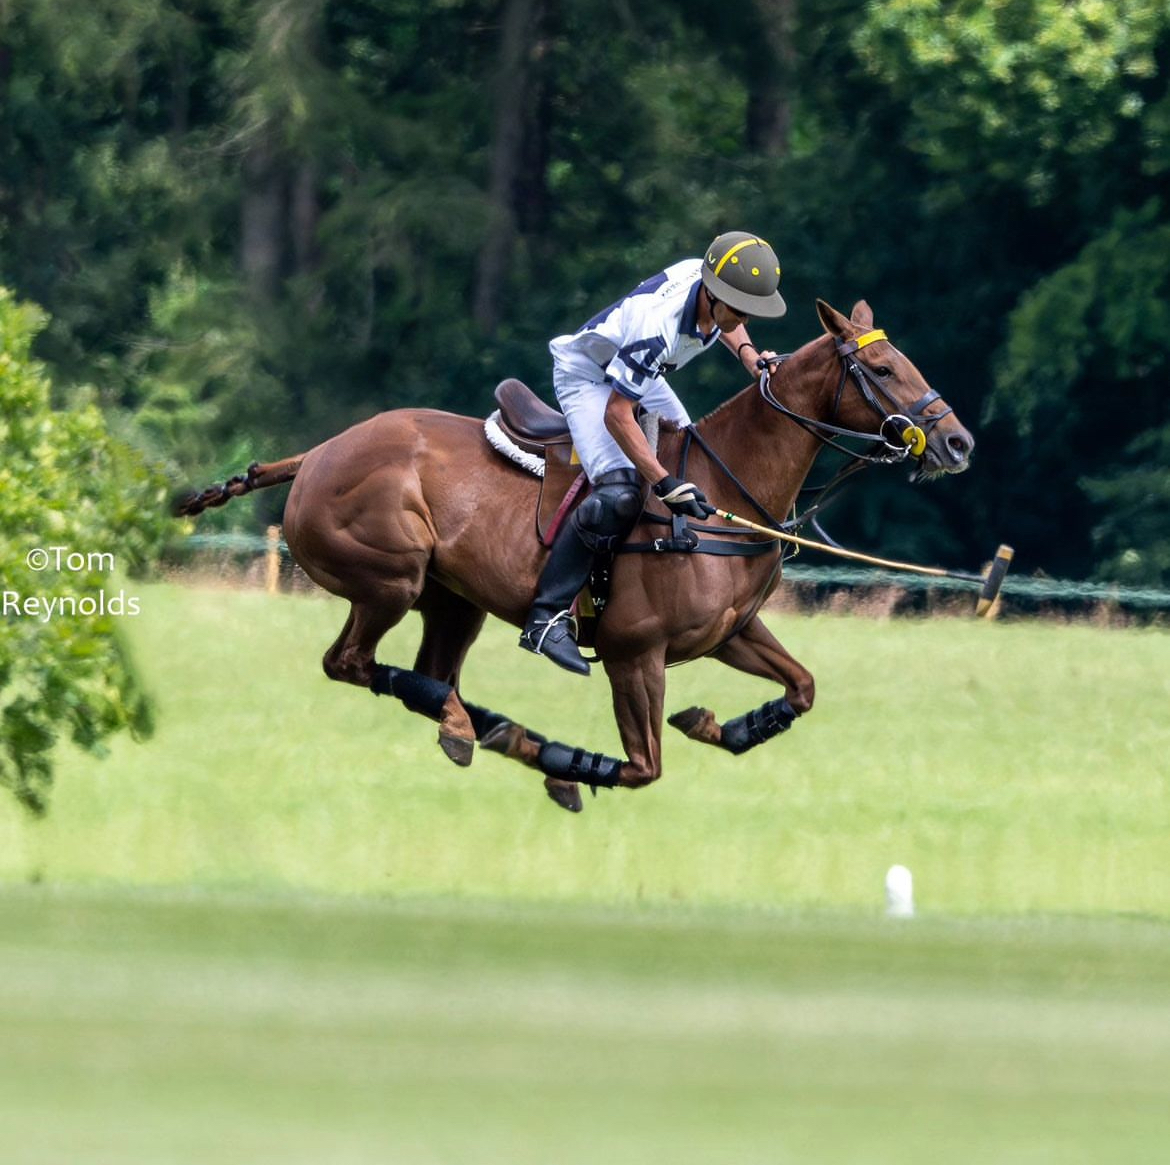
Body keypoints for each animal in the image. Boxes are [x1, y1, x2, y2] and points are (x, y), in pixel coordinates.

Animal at [177, 299, 974, 812]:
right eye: (885, 371)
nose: (959, 441)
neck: (727, 493)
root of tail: (315, 453)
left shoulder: (730, 633)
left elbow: (802, 687)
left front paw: (719, 725)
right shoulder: (633, 651)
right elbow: (644, 767)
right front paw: (568, 771)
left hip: (452, 600)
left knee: (426, 675)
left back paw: (483, 725)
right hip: (389, 577)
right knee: (351, 662)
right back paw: (481, 726)